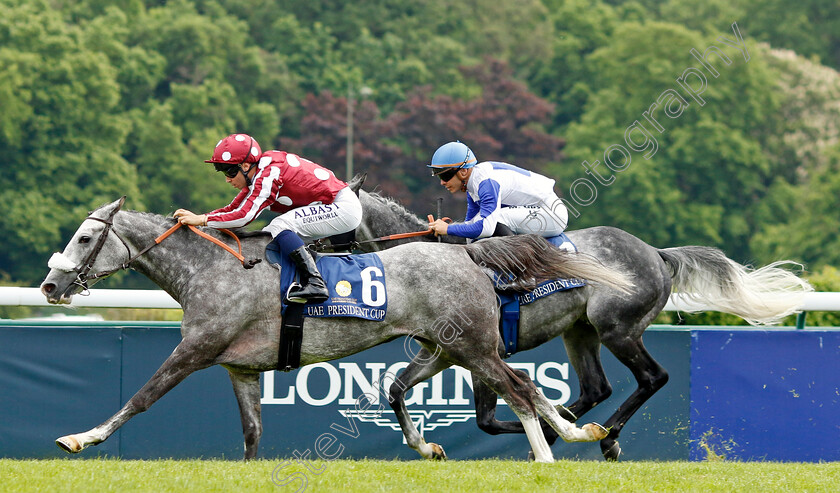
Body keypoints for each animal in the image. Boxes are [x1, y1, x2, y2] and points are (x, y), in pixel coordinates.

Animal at [36, 196, 632, 462]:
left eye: (85, 239)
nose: (49, 285)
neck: (211, 269)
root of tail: (468, 254)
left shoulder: (196, 348)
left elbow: (141, 397)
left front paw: (80, 437)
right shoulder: (240, 368)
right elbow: (252, 432)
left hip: (473, 347)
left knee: (519, 391)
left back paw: (548, 455)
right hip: (449, 346)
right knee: (523, 385)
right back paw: (578, 434)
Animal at [356, 183, 812, 460]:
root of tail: (656, 253)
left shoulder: (480, 351)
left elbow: (488, 418)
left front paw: (545, 431)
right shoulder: (453, 352)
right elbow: (410, 392)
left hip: (617, 328)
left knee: (652, 377)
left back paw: (604, 438)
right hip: (580, 332)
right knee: (597, 388)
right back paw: (575, 428)